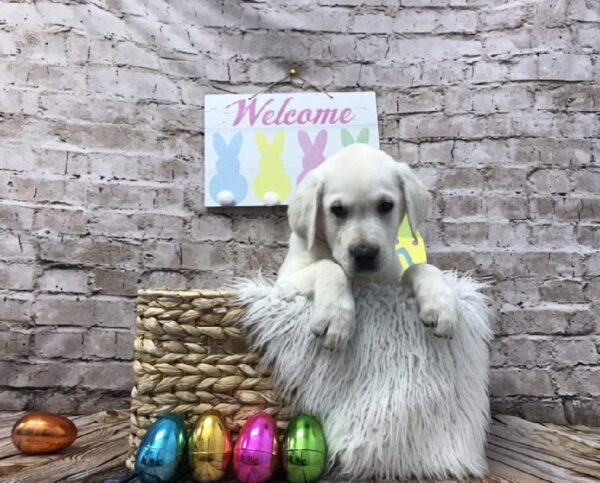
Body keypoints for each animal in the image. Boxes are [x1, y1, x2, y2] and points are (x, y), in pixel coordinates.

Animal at [278, 144, 458, 352]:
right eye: (337, 209)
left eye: (386, 205)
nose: (364, 254)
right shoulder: (284, 281)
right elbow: (330, 267)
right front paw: (336, 317)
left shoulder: (390, 285)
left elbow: (420, 267)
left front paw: (441, 304)